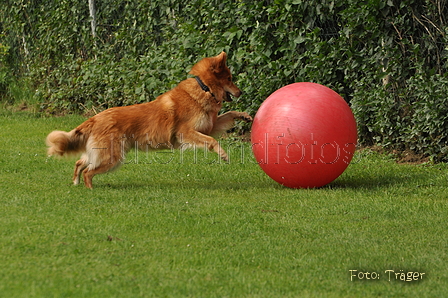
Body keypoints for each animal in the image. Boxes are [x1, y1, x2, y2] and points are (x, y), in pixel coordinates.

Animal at [48, 52, 254, 187]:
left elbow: (228, 115)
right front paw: (223, 155)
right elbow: (211, 141)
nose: (241, 92)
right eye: (229, 79)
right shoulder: (186, 132)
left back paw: (76, 183)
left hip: (100, 153)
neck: (204, 88)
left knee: (80, 163)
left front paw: (243, 115)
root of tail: (96, 118)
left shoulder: (208, 126)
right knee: (88, 172)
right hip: (112, 158)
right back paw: (90, 190)